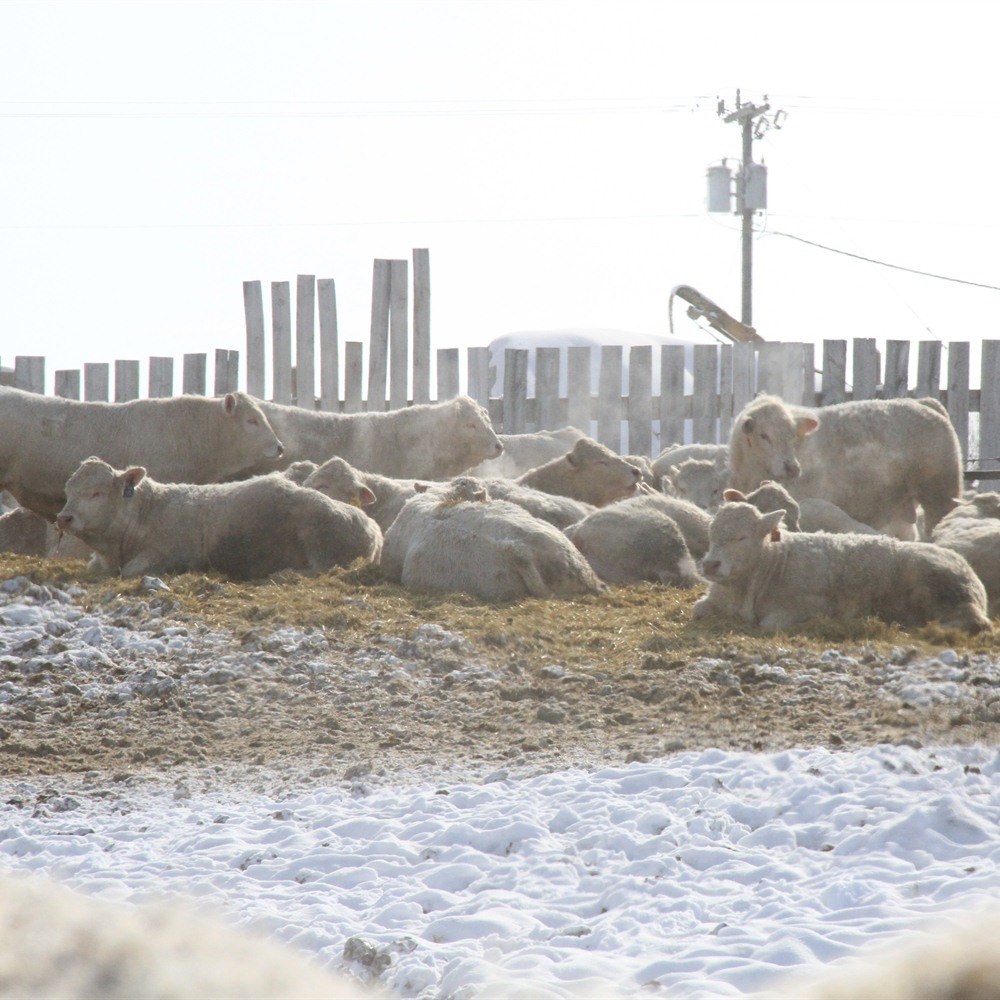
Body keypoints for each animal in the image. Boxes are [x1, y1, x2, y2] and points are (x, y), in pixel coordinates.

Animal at [56, 458, 380, 584]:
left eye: (97, 493)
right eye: (68, 491)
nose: (64, 517)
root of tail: (373, 529)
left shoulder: (174, 555)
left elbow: (133, 570)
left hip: (320, 547)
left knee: (318, 570)